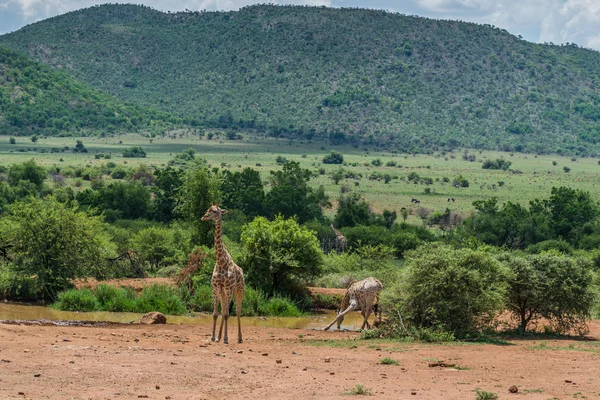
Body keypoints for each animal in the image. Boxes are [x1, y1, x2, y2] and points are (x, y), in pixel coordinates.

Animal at [202, 205, 244, 346]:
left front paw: (226, 338)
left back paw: (239, 338)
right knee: (225, 310)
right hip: (224, 293)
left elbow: (226, 314)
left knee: (237, 312)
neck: (221, 261)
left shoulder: (228, 288)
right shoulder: (216, 288)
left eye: (215, 211)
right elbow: (216, 314)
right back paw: (219, 337)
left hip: (238, 291)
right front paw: (213, 337)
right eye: (208, 209)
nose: (203, 217)